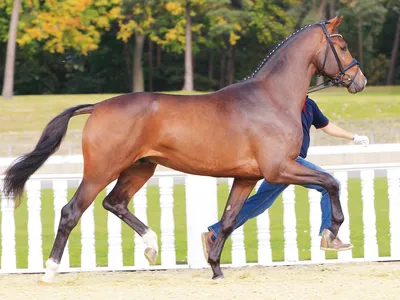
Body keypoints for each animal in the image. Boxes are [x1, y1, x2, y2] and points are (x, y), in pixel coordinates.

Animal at [2, 15, 366, 284]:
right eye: (343, 46)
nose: (360, 81)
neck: (270, 99)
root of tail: (99, 106)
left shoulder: (247, 177)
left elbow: (229, 220)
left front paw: (216, 269)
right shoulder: (279, 169)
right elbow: (331, 182)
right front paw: (332, 234)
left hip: (140, 167)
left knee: (115, 203)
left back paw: (151, 246)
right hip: (100, 170)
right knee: (71, 211)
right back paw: (49, 272)